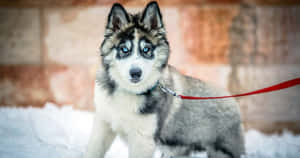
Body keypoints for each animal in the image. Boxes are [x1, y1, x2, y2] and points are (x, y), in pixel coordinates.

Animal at [83, 1, 245, 158]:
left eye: (146, 49)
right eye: (124, 49)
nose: (135, 73)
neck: (130, 92)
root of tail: (232, 99)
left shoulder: (143, 139)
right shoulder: (103, 125)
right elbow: (93, 151)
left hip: (222, 150)